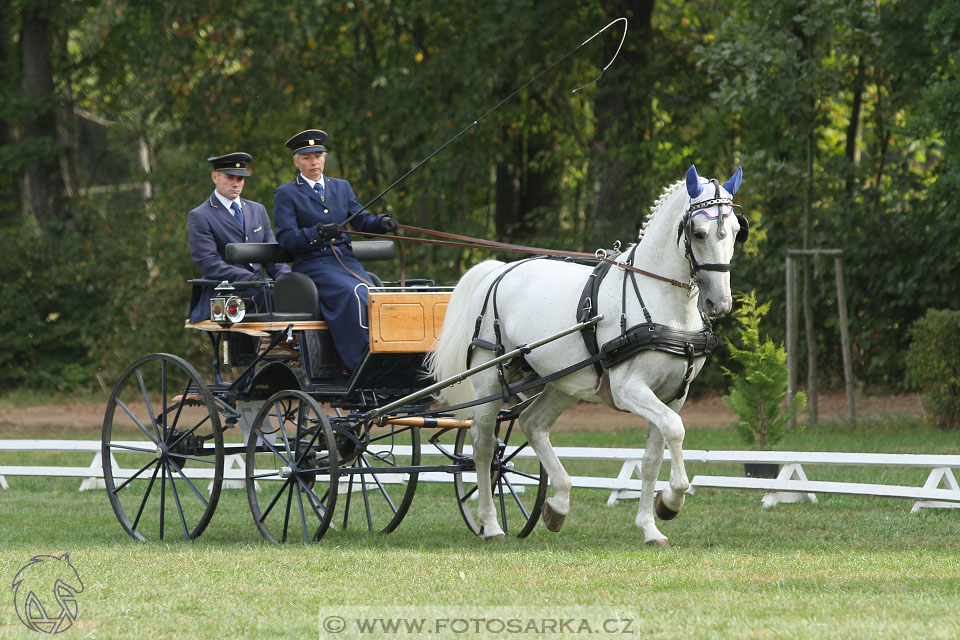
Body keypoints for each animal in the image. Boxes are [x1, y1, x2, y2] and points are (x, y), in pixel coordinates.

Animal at [430, 165, 752, 544]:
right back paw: (491, 524)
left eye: (736, 232)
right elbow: (675, 431)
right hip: (488, 382)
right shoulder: (630, 389)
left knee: (533, 423)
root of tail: (498, 270)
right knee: (483, 445)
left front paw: (651, 525)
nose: (720, 303)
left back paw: (558, 505)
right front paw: (672, 500)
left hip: (564, 382)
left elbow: (652, 459)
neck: (663, 303)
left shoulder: (674, 395)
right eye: (698, 233)